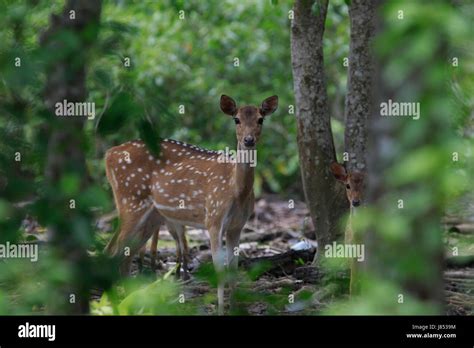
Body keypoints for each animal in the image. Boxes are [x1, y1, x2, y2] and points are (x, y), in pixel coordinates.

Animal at [103, 94, 278, 312]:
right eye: (236, 119)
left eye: (260, 119)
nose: (248, 140)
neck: (236, 189)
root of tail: (109, 154)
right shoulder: (213, 218)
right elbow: (219, 269)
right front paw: (220, 310)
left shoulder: (237, 225)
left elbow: (234, 268)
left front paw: (235, 309)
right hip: (130, 200)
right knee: (112, 252)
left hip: (152, 216)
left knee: (125, 255)